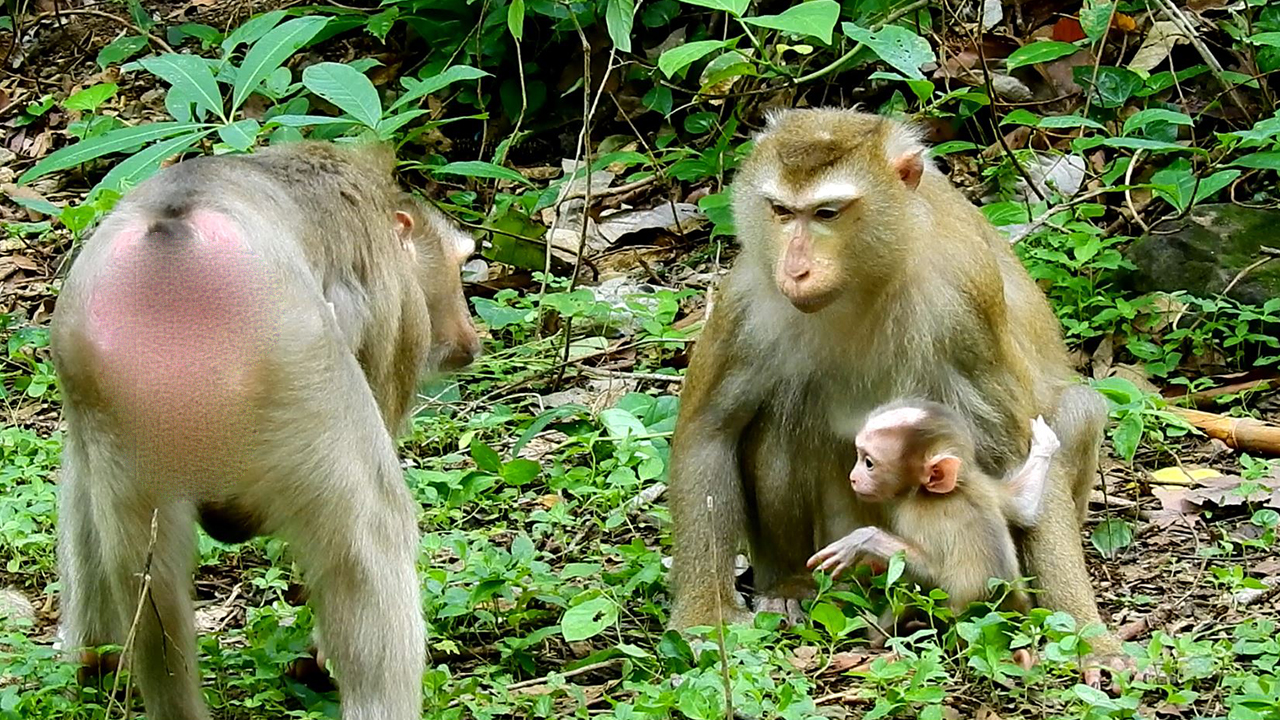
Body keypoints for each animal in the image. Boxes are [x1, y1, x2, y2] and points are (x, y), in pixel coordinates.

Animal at [49, 141, 481, 717]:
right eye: (458, 269)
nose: (469, 337)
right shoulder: (394, 306)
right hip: (305, 369)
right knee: (372, 529)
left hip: (110, 410)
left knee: (141, 569)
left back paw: (107, 665)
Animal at [808, 399, 1059, 620]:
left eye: (868, 463)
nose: (853, 478)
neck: (951, 490)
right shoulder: (982, 485)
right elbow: (1024, 506)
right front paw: (1045, 443)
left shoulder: (916, 513)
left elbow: (932, 573)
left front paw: (860, 541)